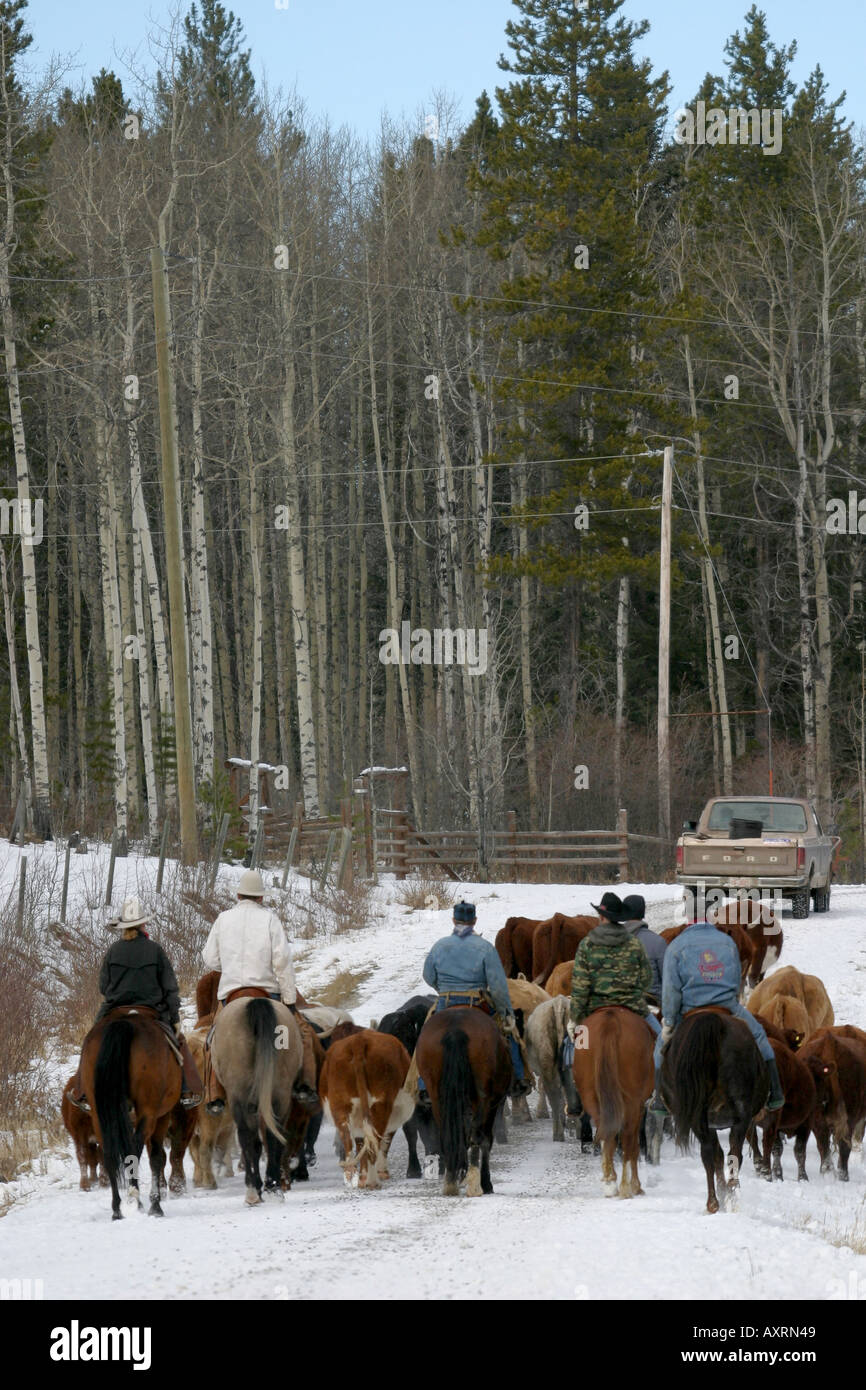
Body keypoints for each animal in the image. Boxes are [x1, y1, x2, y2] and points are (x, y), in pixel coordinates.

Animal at [319, 1029, 415, 1189]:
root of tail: (359, 1040)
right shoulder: (395, 1117)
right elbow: (385, 1142)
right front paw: (382, 1172)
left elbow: (360, 1143)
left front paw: (362, 1178)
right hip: (381, 1104)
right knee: (375, 1139)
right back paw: (373, 1181)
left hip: (339, 1104)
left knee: (348, 1140)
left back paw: (352, 1178)